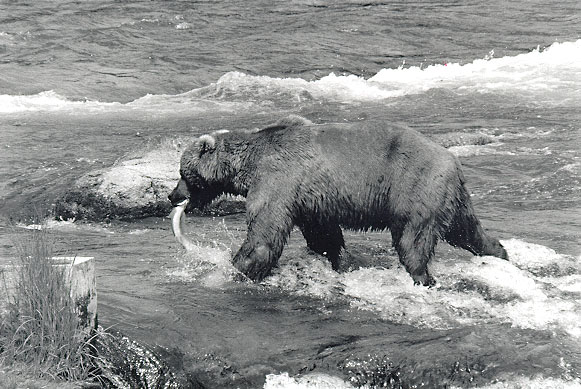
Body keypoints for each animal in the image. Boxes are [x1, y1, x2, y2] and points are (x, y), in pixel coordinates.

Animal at [169, 115, 508, 284]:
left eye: (183, 172)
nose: (173, 195)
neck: (247, 165)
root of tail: (452, 160)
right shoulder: (309, 200)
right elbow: (324, 234)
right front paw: (336, 259)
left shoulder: (277, 181)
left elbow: (264, 235)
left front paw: (234, 267)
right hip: (450, 197)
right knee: (467, 230)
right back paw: (499, 254)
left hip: (414, 188)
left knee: (413, 241)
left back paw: (421, 277)